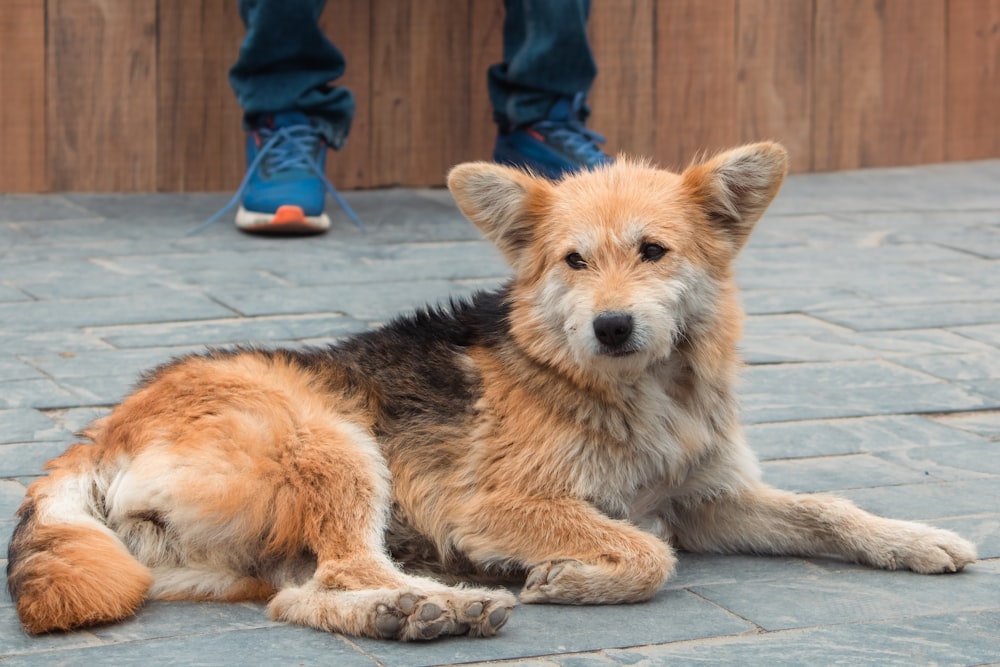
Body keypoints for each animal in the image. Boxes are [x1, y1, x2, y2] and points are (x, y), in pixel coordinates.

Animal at [5, 145, 976, 640]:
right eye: (572, 261)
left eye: (653, 251)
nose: (612, 326)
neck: (637, 393)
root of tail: (94, 437)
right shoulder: (497, 505)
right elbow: (646, 552)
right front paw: (570, 580)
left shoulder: (708, 499)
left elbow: (825, 509)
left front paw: (910, 537)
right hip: (335, 442)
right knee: (347, 566)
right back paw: (440, 599)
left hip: (256, 547)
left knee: (299, 596)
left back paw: (408, 609)